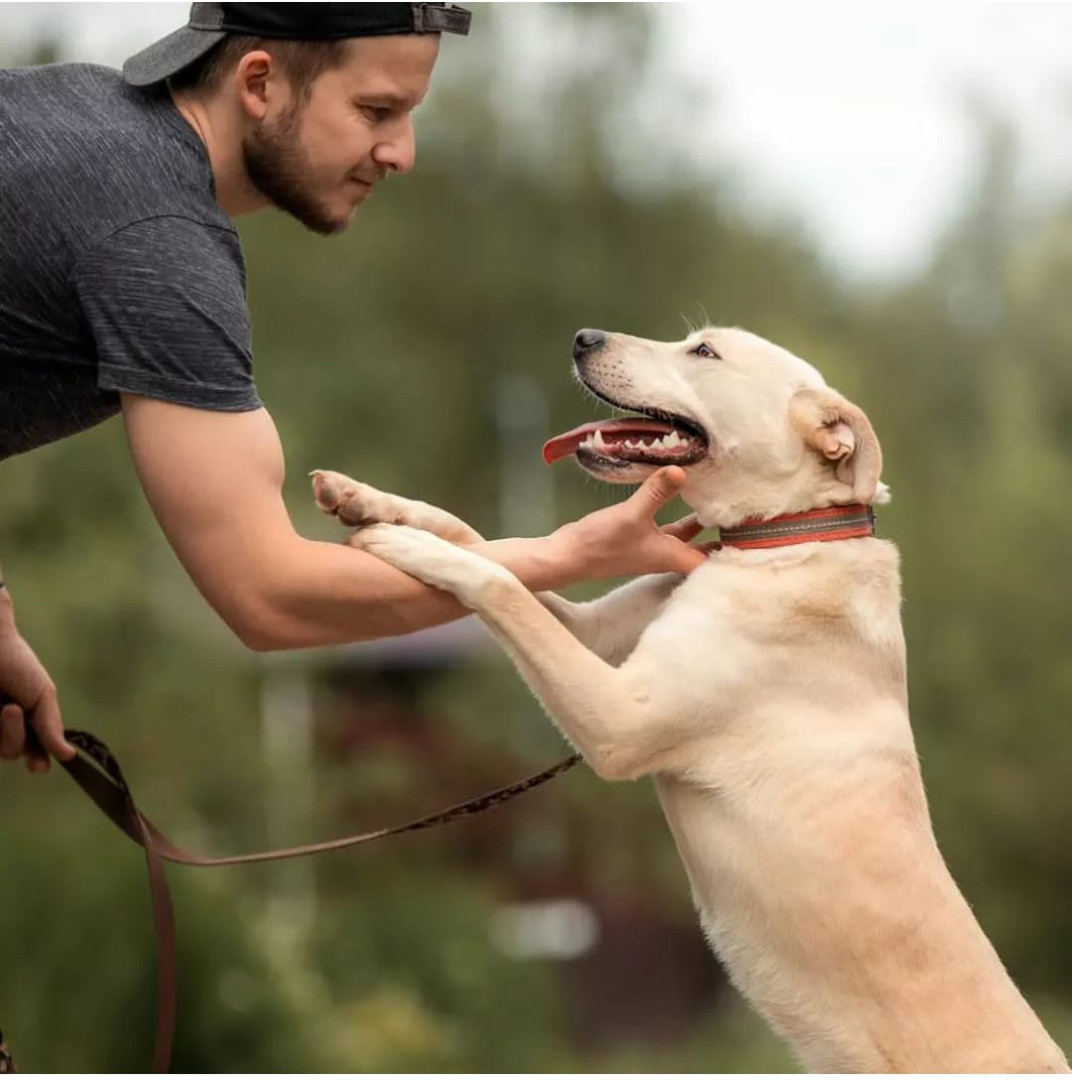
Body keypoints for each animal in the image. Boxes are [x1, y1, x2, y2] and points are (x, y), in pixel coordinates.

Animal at [306, 326, 1062, 1071]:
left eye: (704, 352)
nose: (582, 336)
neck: (782, 537)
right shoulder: (594, 633)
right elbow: (486, 543)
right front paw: (367, 499)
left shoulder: (618, 720)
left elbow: (498, 581)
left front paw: (402, 542)